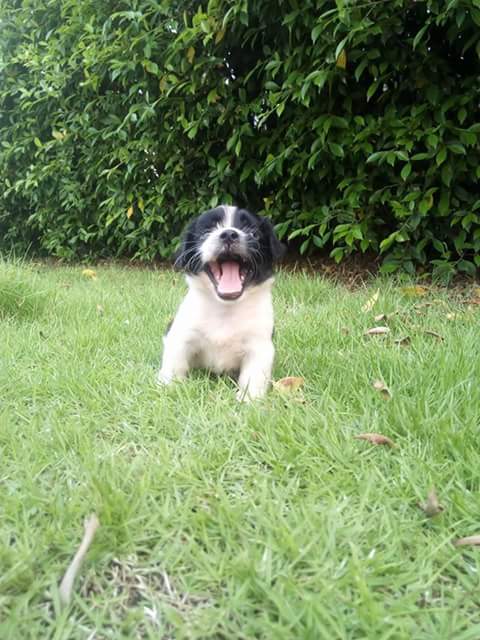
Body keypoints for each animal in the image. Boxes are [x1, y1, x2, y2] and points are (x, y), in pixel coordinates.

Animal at [157, 205, 284, 401]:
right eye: (206, 232)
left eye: (253, 233)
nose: (229, 234)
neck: (226, 309)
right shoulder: (181, 336)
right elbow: (174, 364)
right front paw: (169, 388)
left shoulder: (259, 346)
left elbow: (254, 375)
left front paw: (249, 399)